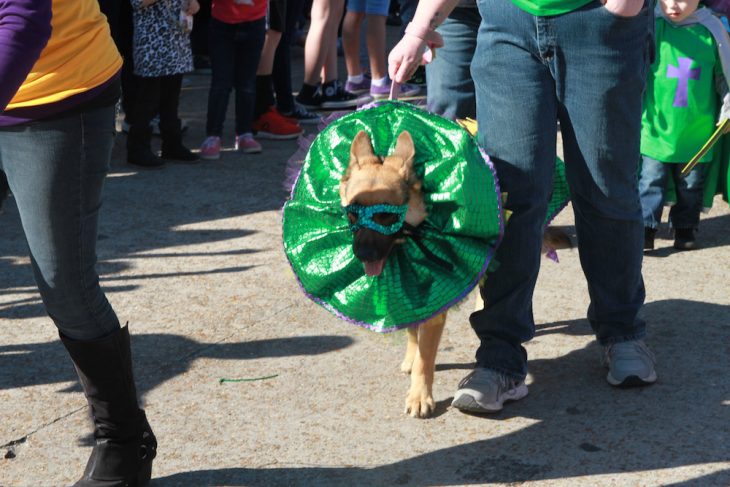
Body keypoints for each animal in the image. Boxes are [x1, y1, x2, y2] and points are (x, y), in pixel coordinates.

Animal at [338, 131, 572, 420]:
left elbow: (425, 359)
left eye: (386, 215)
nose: (362, 254)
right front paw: (411, 357)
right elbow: (413, 333)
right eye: (352, 213)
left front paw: (420, 396)